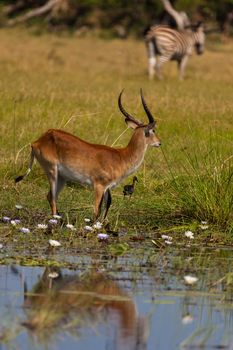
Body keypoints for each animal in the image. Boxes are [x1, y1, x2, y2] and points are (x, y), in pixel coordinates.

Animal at [15, 91, 161, 221]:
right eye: (153, 130)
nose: (159, 142)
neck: (122, 156)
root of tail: (38, 141)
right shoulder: (99, 186)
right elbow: (97, 210)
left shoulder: (107, 188)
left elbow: (107, 205)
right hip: (52, 172)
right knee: (52, 197)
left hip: (62, 178)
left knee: (51, 196)